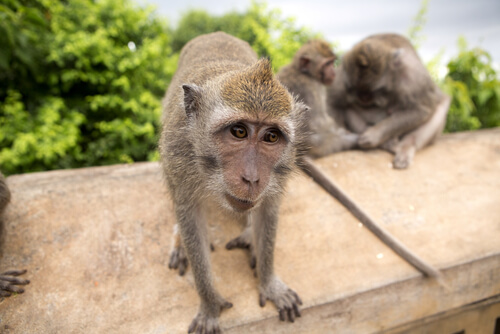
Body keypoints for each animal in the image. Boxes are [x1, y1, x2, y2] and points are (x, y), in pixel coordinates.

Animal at [162, 32, 306, 334]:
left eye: (271, 137)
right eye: (239, 132)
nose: (251, 177)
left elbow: (268, 211)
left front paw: (270, 283)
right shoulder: (176, 151)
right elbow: (188, 215)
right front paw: (210, 305)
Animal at [330, 33, 452, 170]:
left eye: (376, 90)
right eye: (354, 88)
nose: (364, 98)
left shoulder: (412, 76)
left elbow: (421, 109)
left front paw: (375, 134)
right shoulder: (342, 77)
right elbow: (333, 101)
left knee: (440, 107)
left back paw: (406, 146)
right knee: (347, 107)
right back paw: (384, 142)